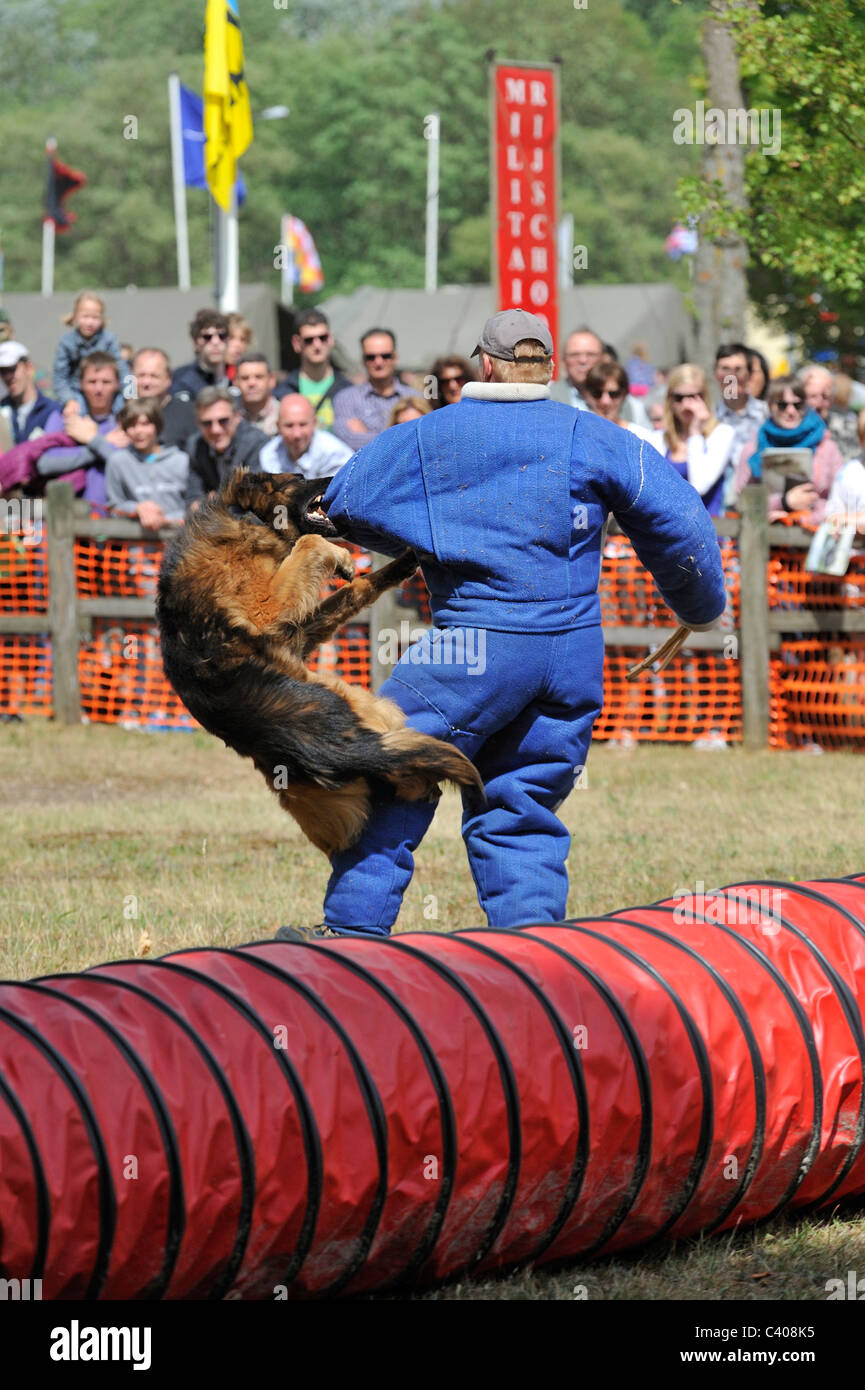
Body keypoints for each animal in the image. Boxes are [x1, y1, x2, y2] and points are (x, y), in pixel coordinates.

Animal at [159, 467, 483, 850]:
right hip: (373, 706)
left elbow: (354, 589)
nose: (342, 474)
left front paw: (399, 563)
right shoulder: (266, 609)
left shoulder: (291, 634)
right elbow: (310, 543)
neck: (248, 513)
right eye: (300, 477)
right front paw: (343, 557)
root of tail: (333, 749)